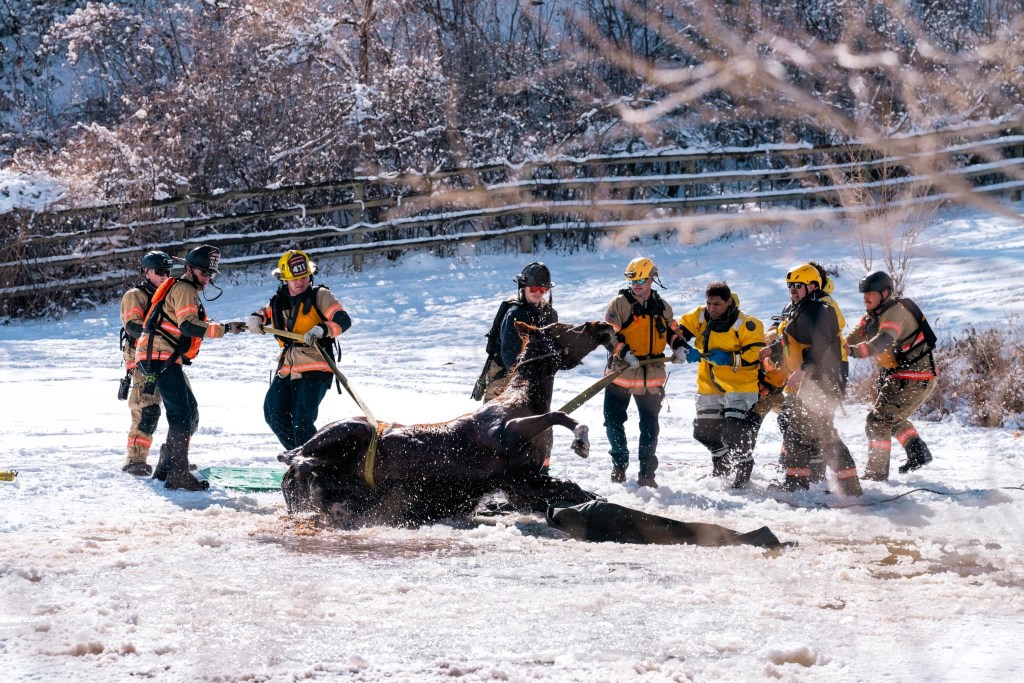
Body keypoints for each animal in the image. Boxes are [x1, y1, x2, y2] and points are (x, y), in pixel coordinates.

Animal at [278, 319, 614, 524]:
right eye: (566, 327)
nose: (603, 326)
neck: (521, 399)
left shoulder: (522, 481)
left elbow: (571, 487)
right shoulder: (503, 433)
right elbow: (558, 415)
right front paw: (581, 441)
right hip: (351, 427)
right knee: (294, 455)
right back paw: (306, 466)